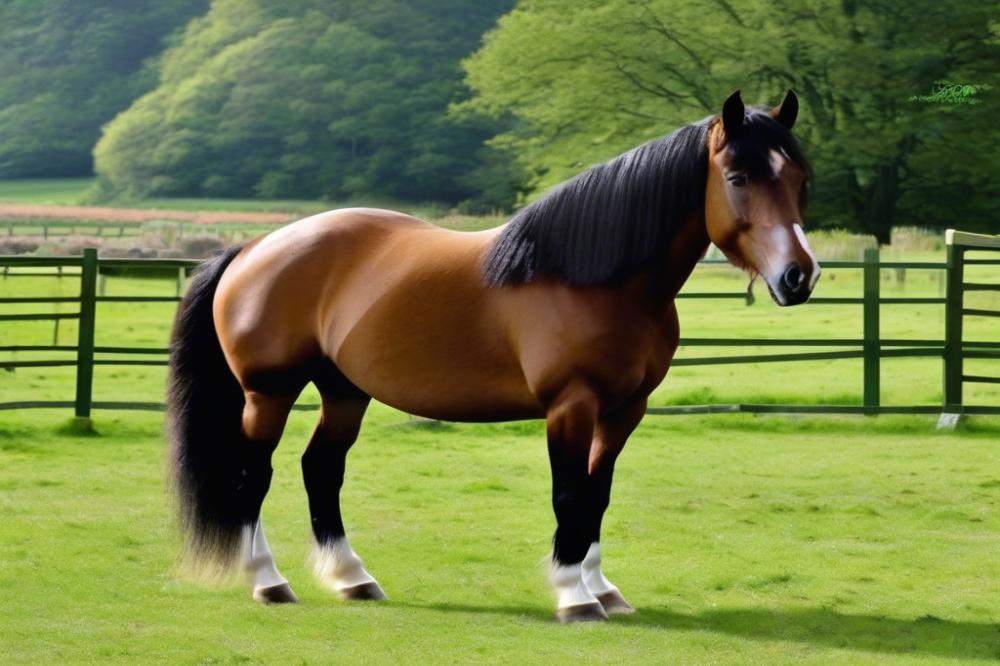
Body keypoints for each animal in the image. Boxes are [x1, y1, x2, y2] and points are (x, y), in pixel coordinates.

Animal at [166, 87, 820, 616]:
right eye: (737, 179)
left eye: (799, 178)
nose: (798, 277)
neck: (596, 279)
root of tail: (254, 248)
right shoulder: (571, 406)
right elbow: (569, 494)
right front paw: (574, 596)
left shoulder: (624, 410)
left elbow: (598, 494)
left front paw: (603, 589)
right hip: (268, 392)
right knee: (254, 475)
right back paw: (268, 583)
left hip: (344, 390)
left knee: (321, 470)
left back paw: (353, 578)